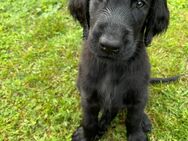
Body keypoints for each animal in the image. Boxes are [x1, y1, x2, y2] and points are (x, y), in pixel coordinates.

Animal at [68, 0, 169, 141]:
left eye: (140, 3)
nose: (109, 46)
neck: (112, 66)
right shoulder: (88, 96)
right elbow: (89, 121)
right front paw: (85, 135)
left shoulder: (138, 93)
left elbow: (134, 118)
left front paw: (136, 136)